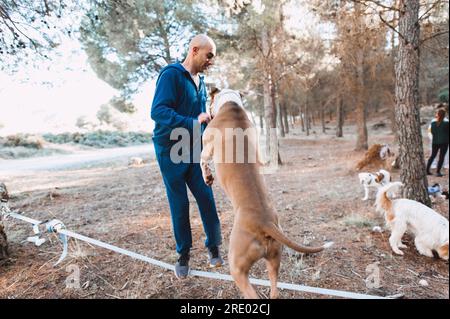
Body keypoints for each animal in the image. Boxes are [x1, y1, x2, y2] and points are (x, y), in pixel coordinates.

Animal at [200, 89, 334, 298]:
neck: (231, 105)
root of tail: (265, 223)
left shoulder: (207, 148)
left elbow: (201, 160)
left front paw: (207, 177)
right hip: (274, 258)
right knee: (274, 290)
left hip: (237, 267)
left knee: (249, 290)